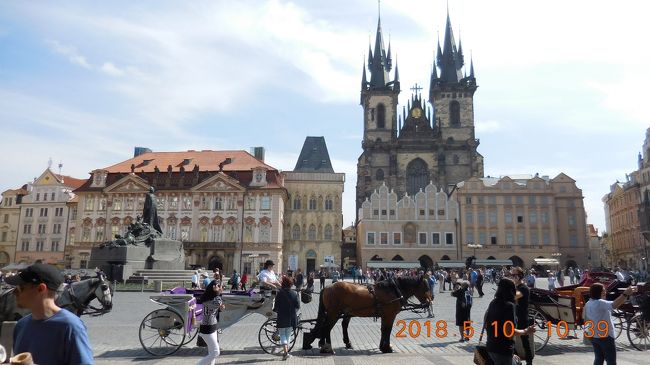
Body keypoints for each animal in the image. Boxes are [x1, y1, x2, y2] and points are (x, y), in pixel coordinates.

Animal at [302, 276, 430, 352]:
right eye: (425, 287)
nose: (429, 302)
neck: (393, 290)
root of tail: (327, 287)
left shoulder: (385, 315)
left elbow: (383, 330)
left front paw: (382, 347)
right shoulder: (390, 315)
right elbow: (388, 330)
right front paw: (387, 347)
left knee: (331, 327)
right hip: (334, 313)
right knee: (327, 328)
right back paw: (327, 347)